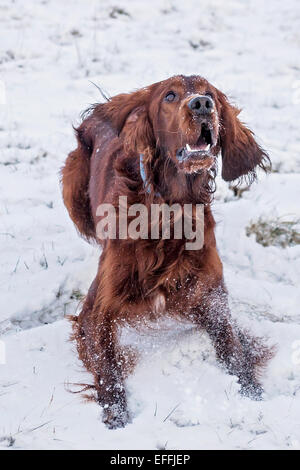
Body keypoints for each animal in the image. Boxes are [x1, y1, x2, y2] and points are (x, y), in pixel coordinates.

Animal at [62, 74, 274, 430]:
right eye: (170, 96)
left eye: (210, 93)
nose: (202, 104)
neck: (170, 212)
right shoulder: (96, 311)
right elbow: (108, 369)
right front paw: (117, 417)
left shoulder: (212, 298)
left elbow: (234, 349)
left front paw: (254, 394)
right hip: (73, 188)